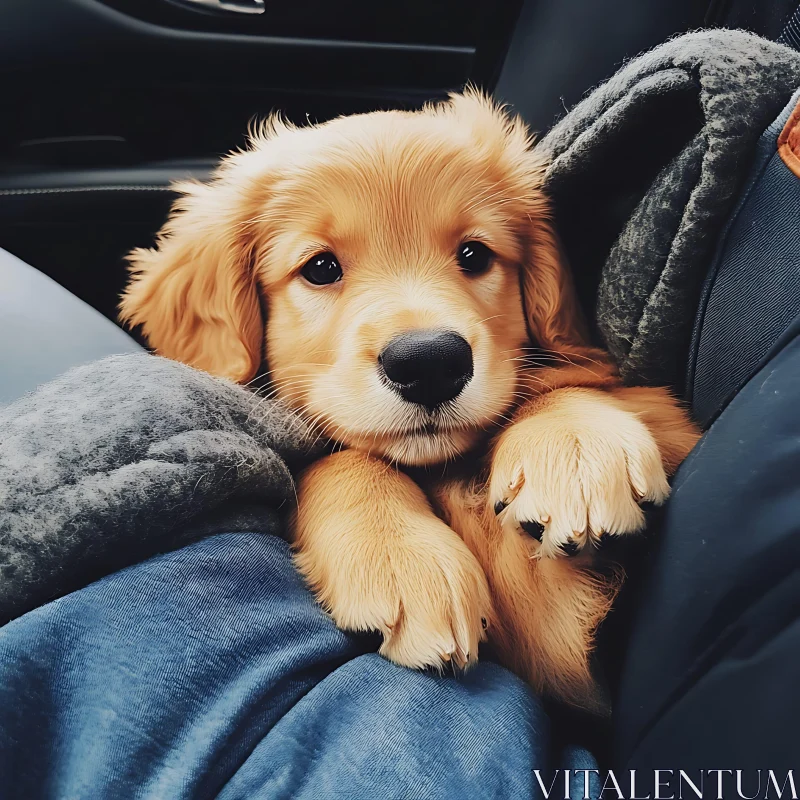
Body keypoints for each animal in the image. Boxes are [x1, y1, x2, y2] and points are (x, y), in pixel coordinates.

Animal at [119, 94, 700, 708]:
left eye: (474, 255)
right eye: (320, 267)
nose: (429, 364)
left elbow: (560, 386)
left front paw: (575, 442)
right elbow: (344, 456)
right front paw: (399, 554)